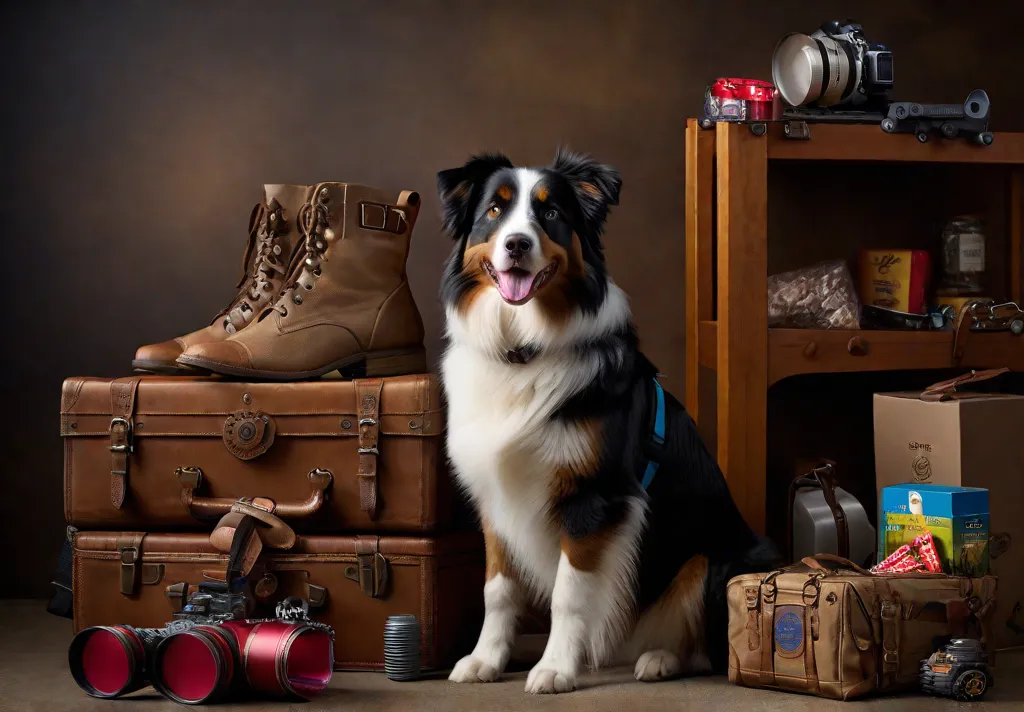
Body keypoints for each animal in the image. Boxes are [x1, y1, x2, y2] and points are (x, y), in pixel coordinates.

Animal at [436, 147, 778, 692]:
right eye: (494, 210)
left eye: (551, 213)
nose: (516, 243)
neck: (524, 348)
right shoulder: (497, 498)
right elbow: (497, 590)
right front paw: (485, 660)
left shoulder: (594, 498)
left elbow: (568, 594)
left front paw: (554, 668)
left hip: (720, 561)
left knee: (713, 649)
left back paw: (660, 659)